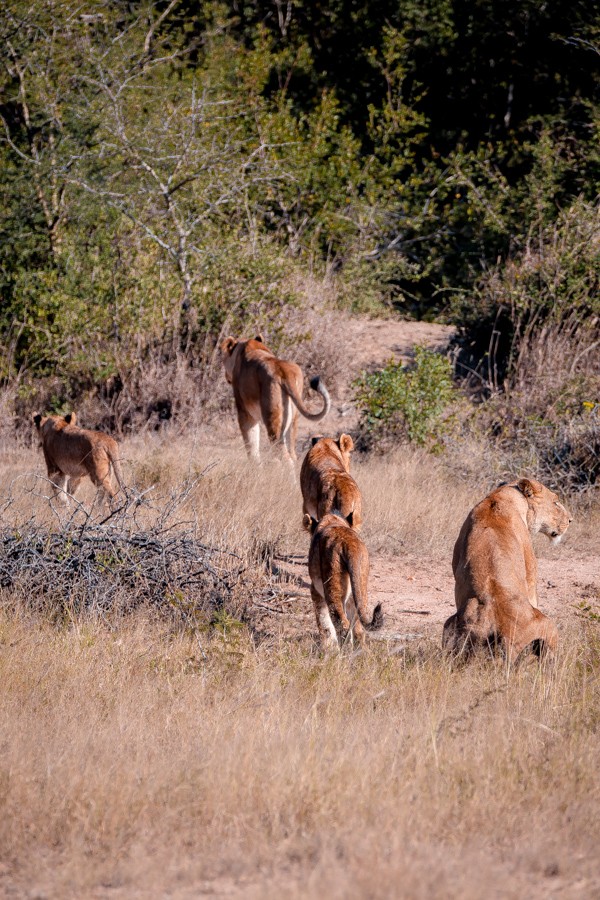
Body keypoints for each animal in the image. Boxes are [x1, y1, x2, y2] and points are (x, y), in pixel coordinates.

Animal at [220, 332, 330, 464]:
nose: (226, 376)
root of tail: (284, 370)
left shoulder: (245, 412)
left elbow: (251, 445)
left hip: (273, 418)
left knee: (285, 456)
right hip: (293, 418)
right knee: (292, 453)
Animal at [302, 512, 382, 648]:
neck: (332, 521)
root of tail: (347, 543)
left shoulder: (315, 590)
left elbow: (323, 623)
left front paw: (328, 648)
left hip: (332, 586)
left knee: (343, 624)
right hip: (359, 586)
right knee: (358, 628)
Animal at [442, 478, 576, 660]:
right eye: (555, 502)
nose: (570, 520)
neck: (500, 496)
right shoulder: (530, 572)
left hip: (450, 625)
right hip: (548, 625)